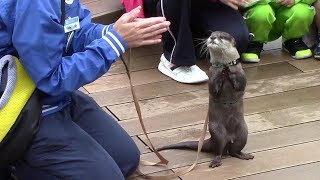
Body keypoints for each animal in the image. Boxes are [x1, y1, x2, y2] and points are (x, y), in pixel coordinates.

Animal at [156, 31, 254, 167]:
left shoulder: (240, 73)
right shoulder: (211, 75)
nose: (212, 38)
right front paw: (222, 73)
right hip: (217, 132)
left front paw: (228, 72)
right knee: (219, 150)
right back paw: (216, 161)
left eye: (222, 36)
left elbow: (240, 84)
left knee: (234, 151)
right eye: (211, 34)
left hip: (243, 133)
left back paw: (244, 155)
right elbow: (214, 89)